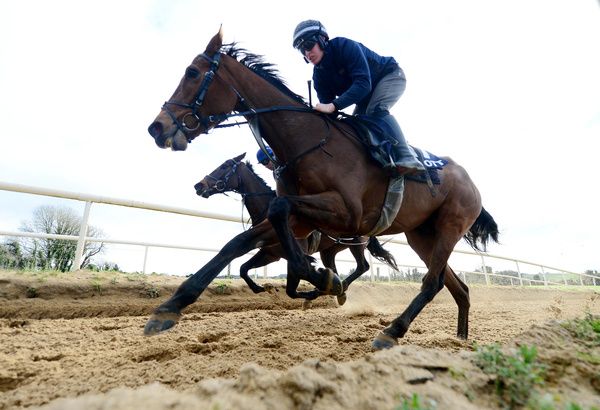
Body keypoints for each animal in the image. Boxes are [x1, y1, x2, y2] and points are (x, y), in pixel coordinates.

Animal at [193, 152, 398, 302]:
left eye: (225, 165)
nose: (198, 185)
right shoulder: (270, 254)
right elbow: (243, 268)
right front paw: (259, 288)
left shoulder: (291, 256)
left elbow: (291, 290)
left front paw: (312, 293)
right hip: (329, 251)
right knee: (336, 268)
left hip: (355, 244)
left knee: (363, 266)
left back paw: (335, 288)